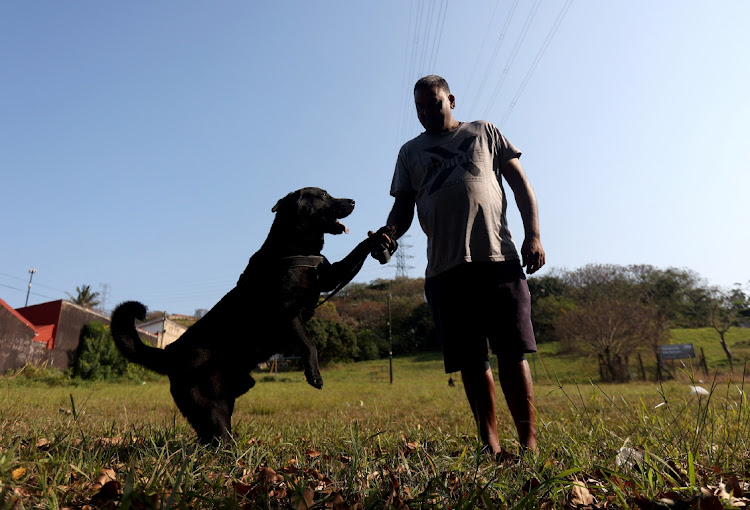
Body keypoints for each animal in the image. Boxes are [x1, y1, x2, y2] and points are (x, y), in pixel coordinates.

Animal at [113, 187, 394, 442]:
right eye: (324, 195)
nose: (353, 201)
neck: (293, 248)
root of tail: (170, 351)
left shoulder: (330, 277)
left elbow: (357, 249)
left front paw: (381, 235)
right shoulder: (287, 313)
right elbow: (309, 344)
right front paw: (314, 375)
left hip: (222, 401)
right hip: (209, 407)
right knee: (218, 439)